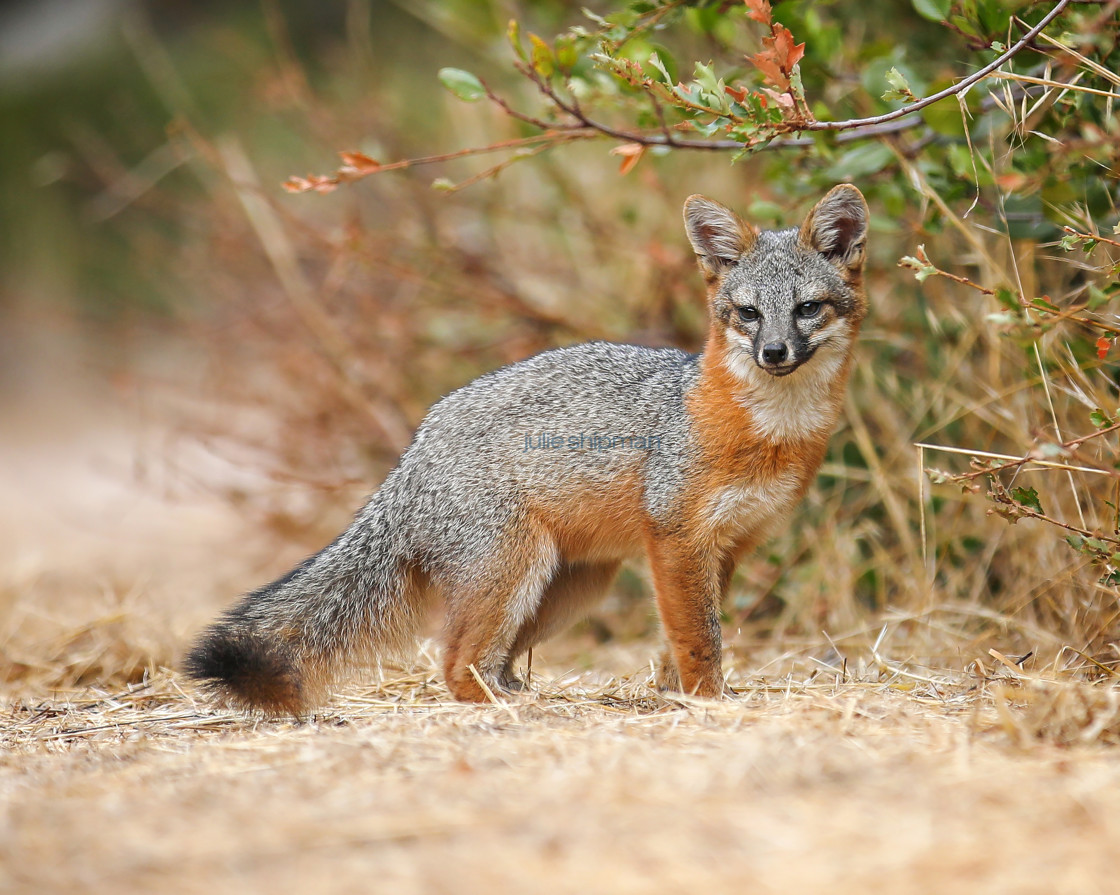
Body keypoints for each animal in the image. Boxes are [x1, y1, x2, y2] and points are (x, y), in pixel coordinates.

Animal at [183, 185, 869, 716]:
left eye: (807, 309)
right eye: (749, 314)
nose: (773, 353)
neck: (769, 431)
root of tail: (417, 446)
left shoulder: (725, 546)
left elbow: (687, 637)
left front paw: (677, 695)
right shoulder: (678, 539)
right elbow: (699, 639)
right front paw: (707, 702)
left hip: (567, 590)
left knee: (493, 659)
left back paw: (523, 695)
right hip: (515, 571)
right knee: (456, 663)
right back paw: (508, 708)